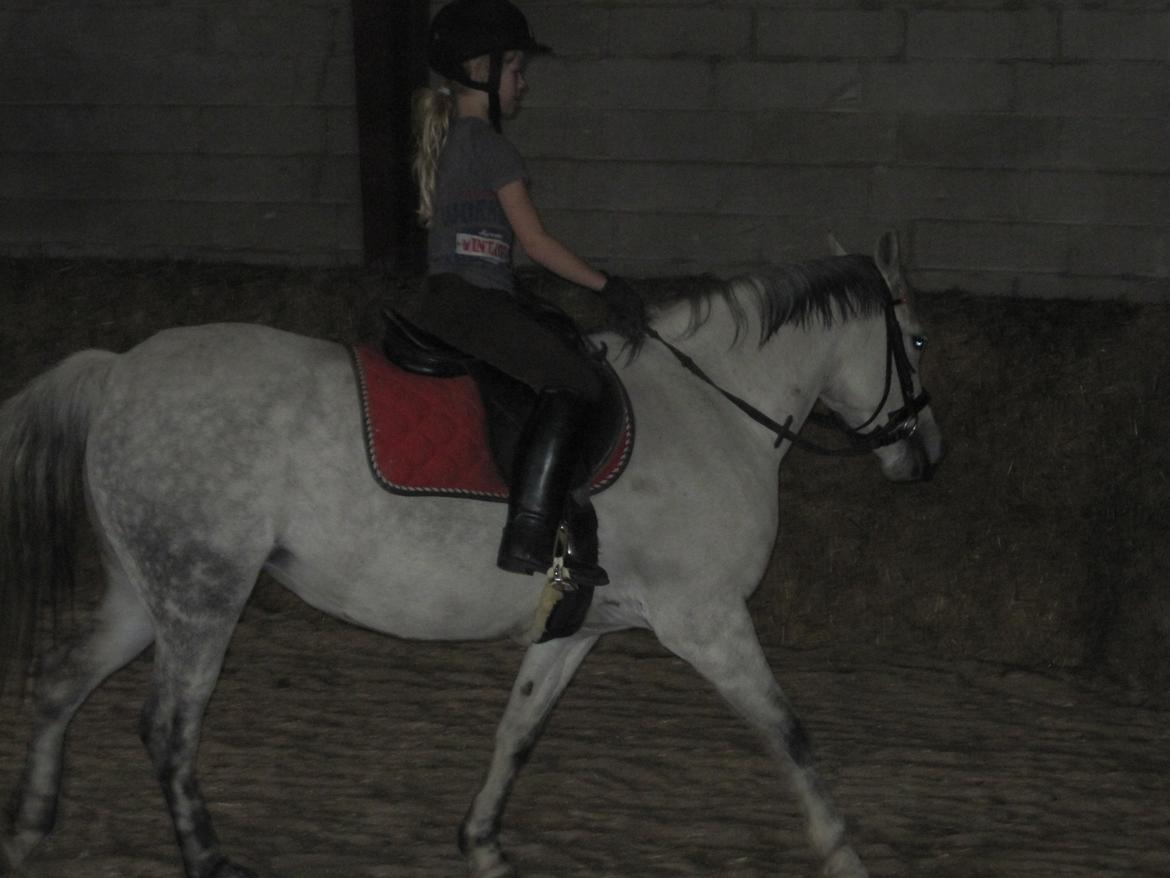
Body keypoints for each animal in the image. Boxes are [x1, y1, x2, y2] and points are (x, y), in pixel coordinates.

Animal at [0, 231, 942, 878]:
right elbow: (789, 731)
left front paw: (481, 843)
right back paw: (205, 858)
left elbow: (518, 731)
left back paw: (31, 826)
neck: (714, 409)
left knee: (60, 681)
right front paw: (842, 851)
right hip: (202, 594)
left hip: (145, 590)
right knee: (168, 728)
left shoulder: (581, 624)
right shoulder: (705, 622)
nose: (926, 457)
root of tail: (118, 372)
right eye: (920, 342)